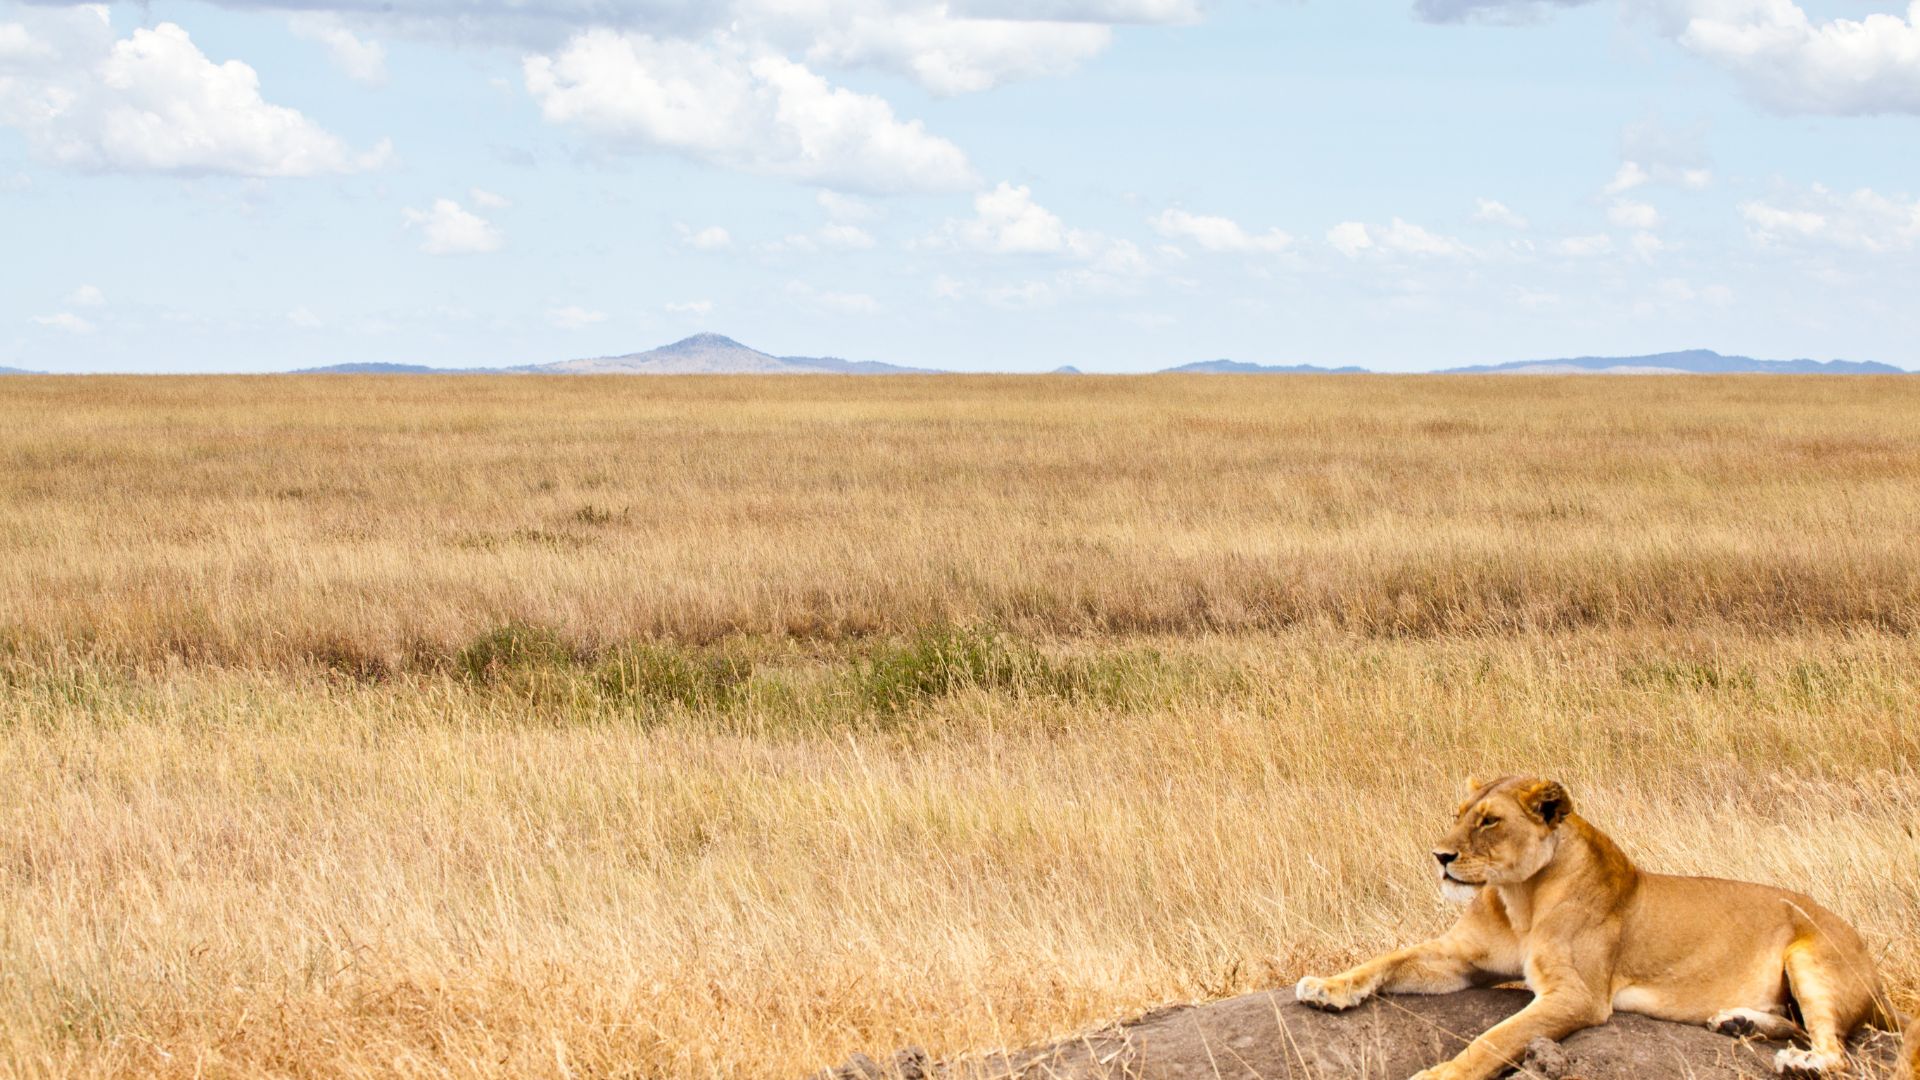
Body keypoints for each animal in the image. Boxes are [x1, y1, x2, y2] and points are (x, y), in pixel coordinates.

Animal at [1294, 776, 1899, 1080]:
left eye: (1490, 821)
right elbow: (1386, 960)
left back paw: (1800, 1061)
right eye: (1459, 814)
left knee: (1836, 1047)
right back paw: (1738, 1023)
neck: (1521, 897)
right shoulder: (1458, 958)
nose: (1440, 856)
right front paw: (1324, 986)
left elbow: (1496, 1038)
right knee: (1795, 1022)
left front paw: (1441, 1076)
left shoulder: (1577, 995)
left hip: (1810, 953)